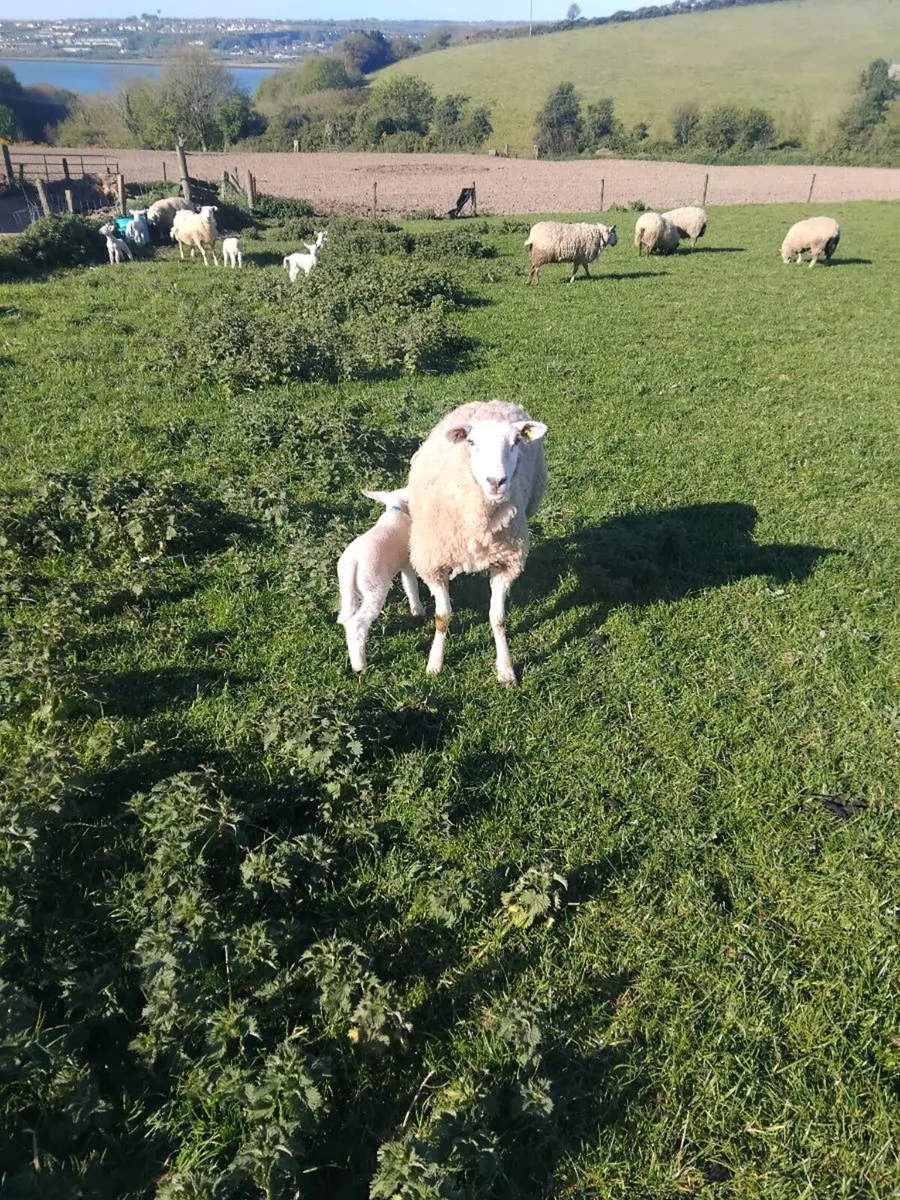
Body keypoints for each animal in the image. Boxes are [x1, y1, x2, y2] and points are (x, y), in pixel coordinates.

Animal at [337, 487, 425, 674]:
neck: (395, 508)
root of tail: (353, 563)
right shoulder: (407, 562)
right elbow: (411, 586)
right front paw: (418, 610)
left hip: (348, 590)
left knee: (348, 620)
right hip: (374, 587)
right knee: (357, 623)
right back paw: (360, 666)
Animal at [407, 399, 548, 686]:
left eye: (516, 441)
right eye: (472, 442)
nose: (496, 482)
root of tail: (494, 401)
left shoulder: (506, 562)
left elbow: (498, 618)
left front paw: (505, 669)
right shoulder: (433, 564)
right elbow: (442, 617)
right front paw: (434, 664)